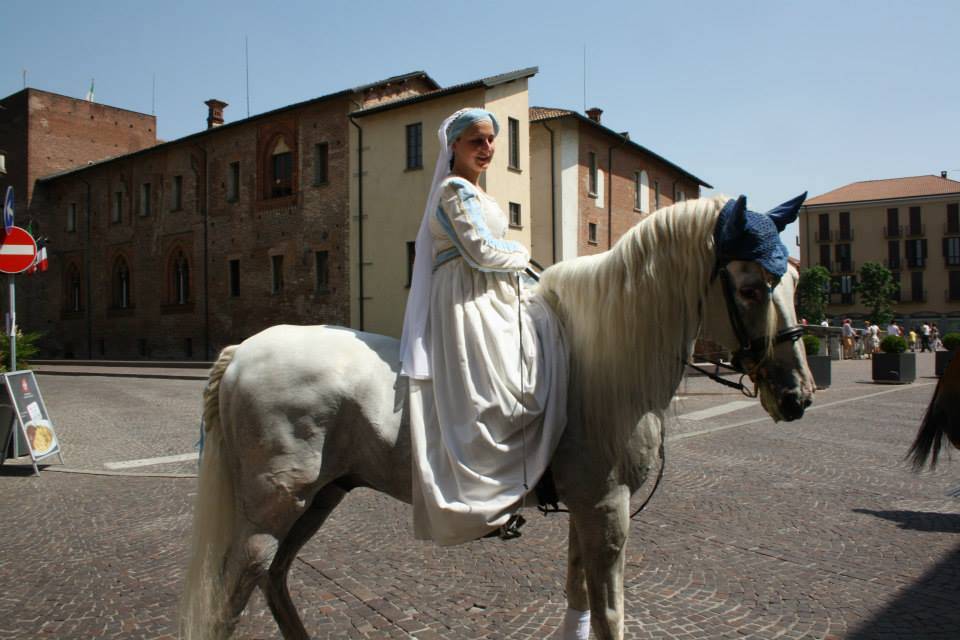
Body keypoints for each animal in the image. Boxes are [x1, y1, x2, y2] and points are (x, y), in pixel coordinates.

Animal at [178, 195, 808, 640]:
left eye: (795, 281)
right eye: (751, 287)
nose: (798, 395)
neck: (601, 358)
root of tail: (243, 351)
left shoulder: (586, 508)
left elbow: (579, 601)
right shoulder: (608, 508)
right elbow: (609, 616)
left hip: (320, 497)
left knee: (274, 580)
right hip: (272, 509)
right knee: (232, 595)